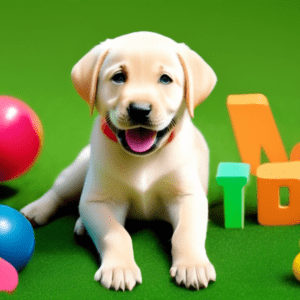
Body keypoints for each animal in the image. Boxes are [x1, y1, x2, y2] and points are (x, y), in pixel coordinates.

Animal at [21, 32, 218, 290]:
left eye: (165, 79)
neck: (144, 159)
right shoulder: (100, 201)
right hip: (81, 169)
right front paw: (120, 269)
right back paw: (37, 210)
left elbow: (186, 233)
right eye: (119, 77)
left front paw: (193, 265)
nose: (140, 109)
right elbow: (116, 234)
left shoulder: (188, 196)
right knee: (60, 192)